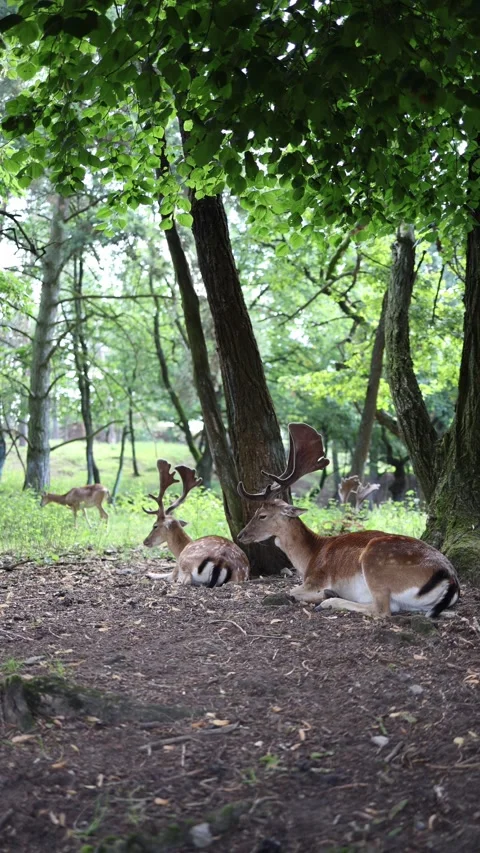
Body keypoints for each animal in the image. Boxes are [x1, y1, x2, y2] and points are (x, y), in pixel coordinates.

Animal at [237, 423, 460, 618]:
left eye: (262, 515)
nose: (240, 535)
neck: (310, 557)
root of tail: (450, 579)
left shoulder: (316, 579)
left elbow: (291, 591)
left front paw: (323, 594)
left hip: (375, 564)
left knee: (382, 610)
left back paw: (329, 600)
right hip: (415, 603)